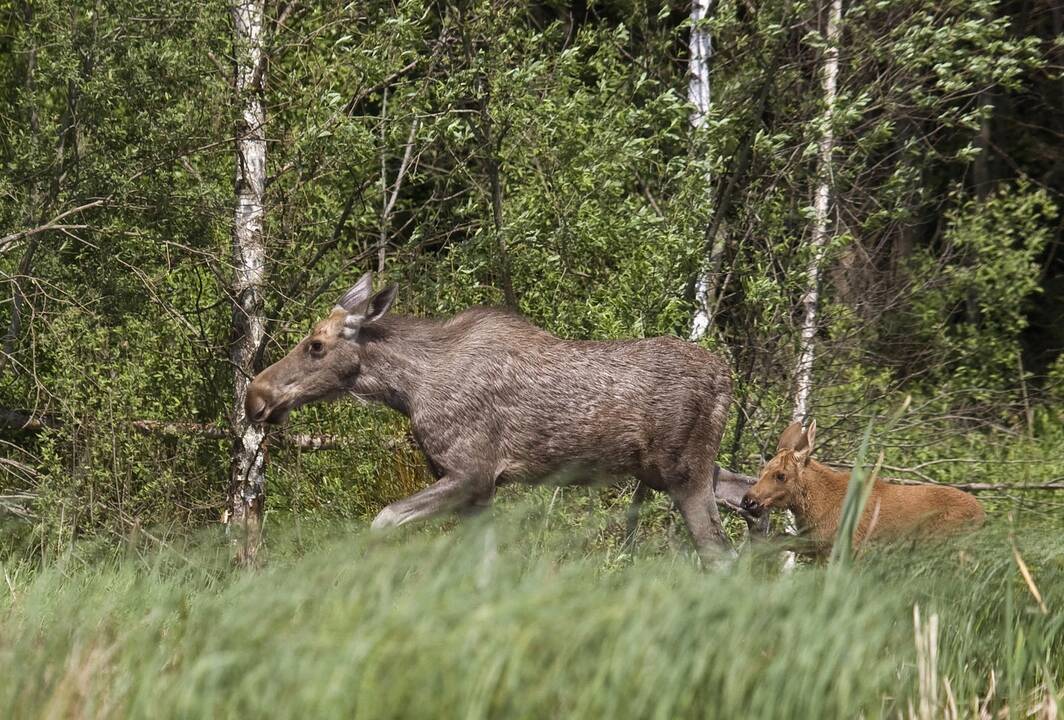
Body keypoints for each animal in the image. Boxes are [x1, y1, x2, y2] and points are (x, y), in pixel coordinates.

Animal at [243, 272, 740, 557]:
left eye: (316, 346)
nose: (255, 396)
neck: (407, 389)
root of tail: (727, 377)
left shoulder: (472, 472)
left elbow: (383, 520)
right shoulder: (478, 491)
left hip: (683, 473)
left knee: (720, 552)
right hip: (691, 469)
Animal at [740, 419, 978, 553]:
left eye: (781, 475)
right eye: (761, 470)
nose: (748, 500)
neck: (812, 509)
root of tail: (982, 514)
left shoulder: (848, 548)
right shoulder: (816, 546)